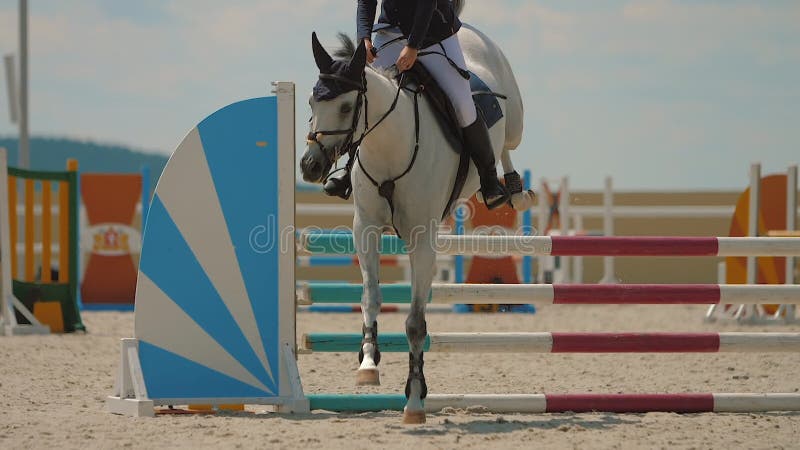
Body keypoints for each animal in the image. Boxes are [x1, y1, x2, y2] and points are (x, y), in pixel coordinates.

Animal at [298, 7, 524, 424]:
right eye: (309, 103)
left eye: (346, 106)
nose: (310, 166)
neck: (389, 146)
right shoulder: (366, 228)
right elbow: (370, 297)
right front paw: (367, 364)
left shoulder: (422, 241)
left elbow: (416, 324)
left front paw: (415, 400)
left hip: (513, 119)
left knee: (505, 145)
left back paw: (509, 188)